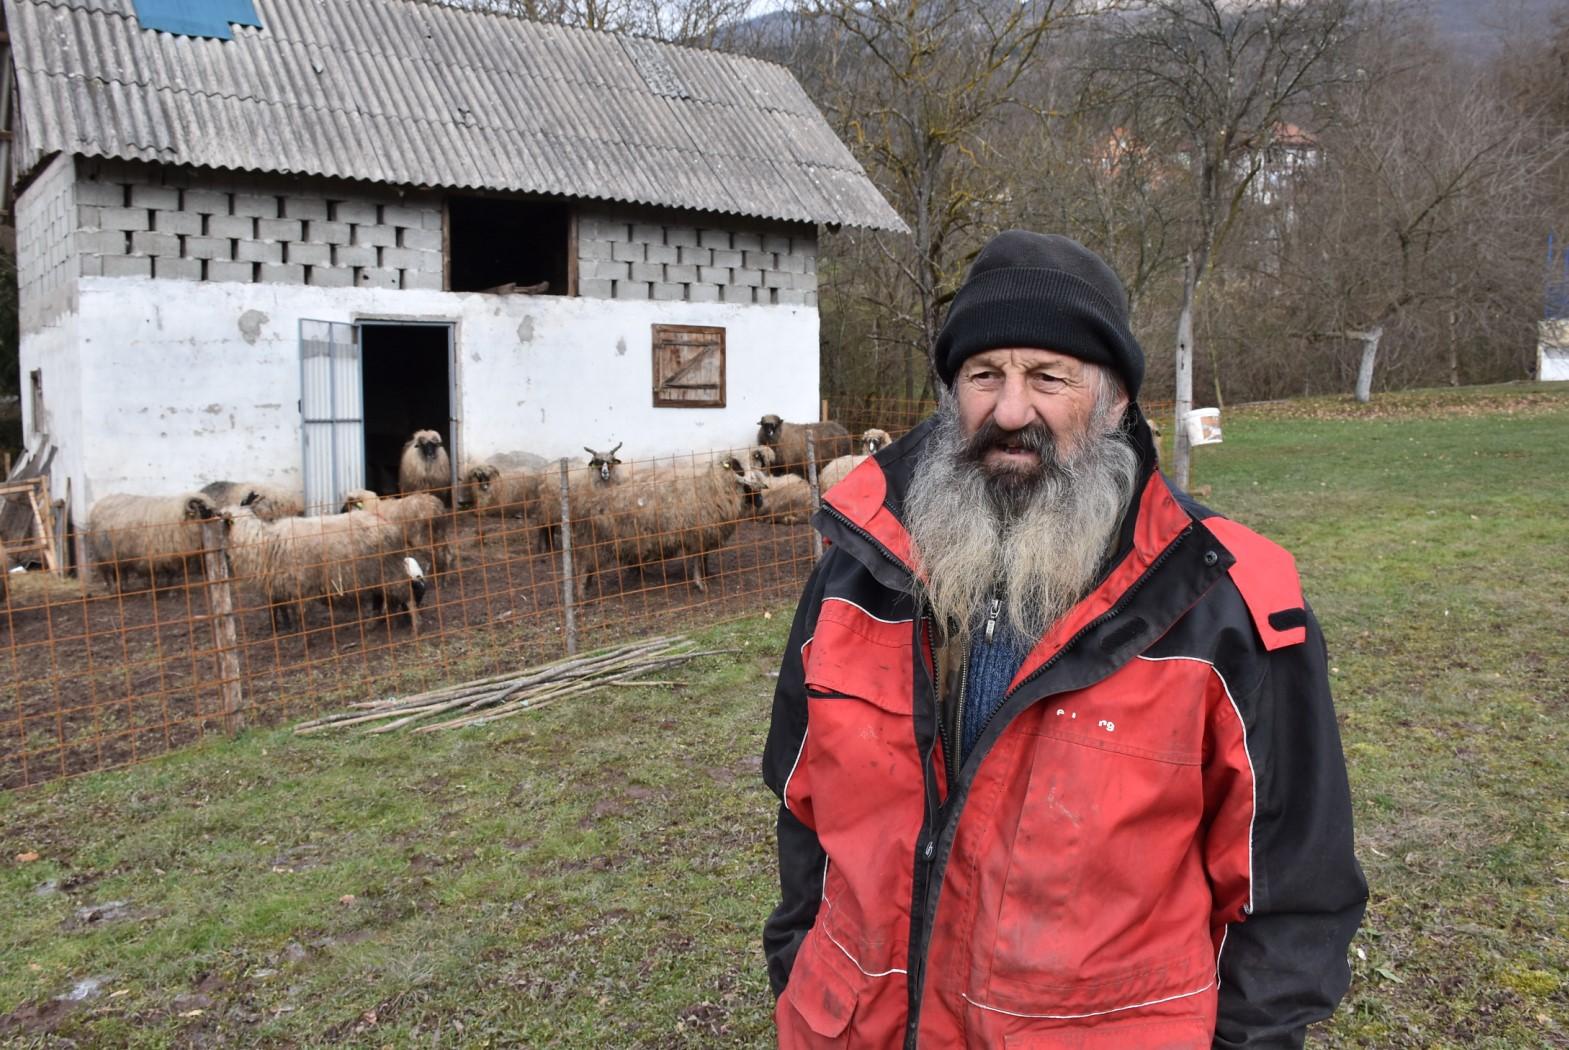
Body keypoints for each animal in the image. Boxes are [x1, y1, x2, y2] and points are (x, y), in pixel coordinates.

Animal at [87, 492, 221, 590]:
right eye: (203, 508)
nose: (220, 514)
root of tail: (101, 502)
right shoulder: (147, 556)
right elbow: (150, 576)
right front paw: (151, 591)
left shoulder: (174, 556)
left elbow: (171, 574)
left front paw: (171, 590)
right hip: (103, 553)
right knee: (106, 572)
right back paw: (112, 589)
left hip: (120, 553)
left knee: (121, 571)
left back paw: (124, 587)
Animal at [580, 455, 768, 593]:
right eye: (742, 471)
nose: (760, 501)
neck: (714, 486)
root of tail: (593, 503)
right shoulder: (696, 532)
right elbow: (698, 558)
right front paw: (700, 583)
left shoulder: (706, 531)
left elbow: (705, 556)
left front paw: (707, 574)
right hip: (599, 541)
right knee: (587, 566)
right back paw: (583, 592)